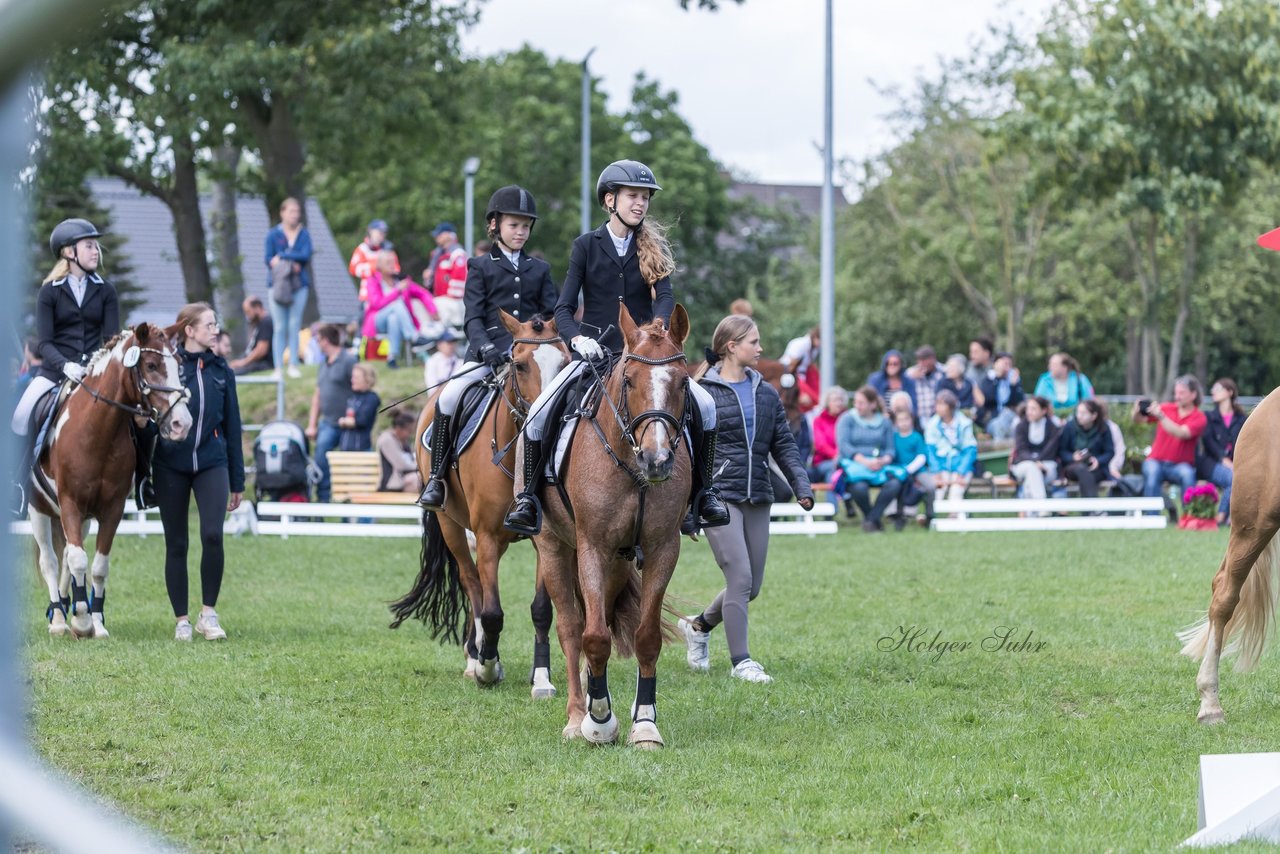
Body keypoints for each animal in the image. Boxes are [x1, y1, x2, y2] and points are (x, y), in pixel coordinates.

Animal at [29, 323, 192, 637]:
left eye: (178, 364)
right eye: (151, 365)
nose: (182, 424)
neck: (96, 431)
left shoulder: (112, 509)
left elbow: (98, 566)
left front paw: (95, 622)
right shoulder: (70, 503)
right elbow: (78, 560)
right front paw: (81, 622)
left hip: (80, 518)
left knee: (65, 557)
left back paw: (67, 607)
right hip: (39, 508)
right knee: (50, 560)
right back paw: (58, 620)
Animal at [389, 311, 570, 696]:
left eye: (564, 363)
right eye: (519, 365)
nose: (545, 418)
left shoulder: (545, 538)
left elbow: (542, 609)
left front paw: (541, 678)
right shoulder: (486, 537)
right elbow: (492, 611)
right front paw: (487, 666)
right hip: (451, 526)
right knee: (471, 582)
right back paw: (476, 658)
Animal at [527, 302, 696, 747]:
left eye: (683, 381)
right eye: (630, 379)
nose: (657, 461)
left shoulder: (662, 549)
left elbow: (646, 637)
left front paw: (645, 723)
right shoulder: (592, 547)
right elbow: (593, 637)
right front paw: (599, 719)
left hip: (618, 565)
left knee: (596, 617)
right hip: (555, 548)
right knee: (572, 628)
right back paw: (576, 715)